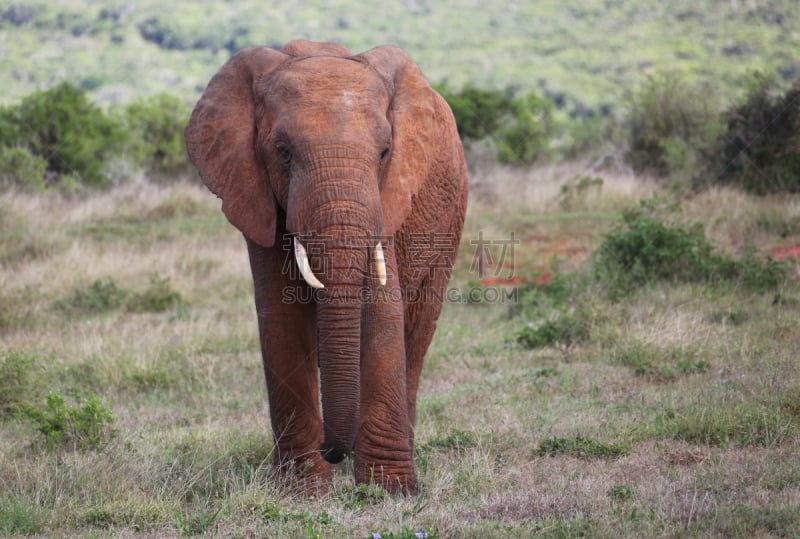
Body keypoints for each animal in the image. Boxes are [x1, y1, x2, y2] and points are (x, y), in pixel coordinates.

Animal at [185, 40, 468, 496]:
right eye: (283, 152)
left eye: (385, 152)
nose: (334, 450)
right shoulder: (258, 195)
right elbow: (281, 319)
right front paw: (302, 490)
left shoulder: (387, 199)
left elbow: (382, 314)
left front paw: (389, 491)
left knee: (420, 325)